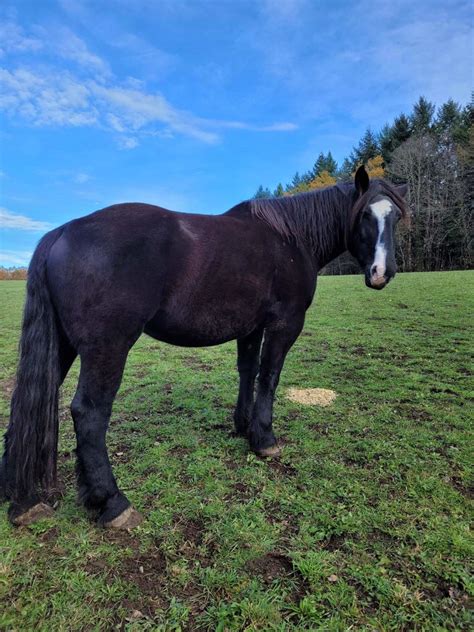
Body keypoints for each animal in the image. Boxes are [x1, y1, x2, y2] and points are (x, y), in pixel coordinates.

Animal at [0, 164, 408, 528]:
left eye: (396, 218)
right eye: (366, 215)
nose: (382, 273)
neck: (291, 240)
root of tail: (63, 231)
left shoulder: (251, 327)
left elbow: (248, 371)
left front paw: (243, 426)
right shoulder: (284, 324)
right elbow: (269, 376)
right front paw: (265, 438)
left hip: (65, 345)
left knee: (30, 401)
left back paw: (23, 500)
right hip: (107, 348)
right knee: (89, 413)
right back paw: (112, 503)